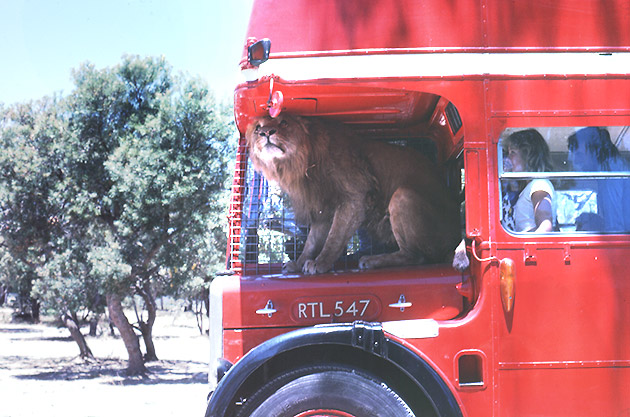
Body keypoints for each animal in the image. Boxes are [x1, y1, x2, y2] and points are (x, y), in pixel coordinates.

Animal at [249, 113, 466, 272]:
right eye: (258, 127)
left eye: (284, 122)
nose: (265, 132)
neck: (300, 163)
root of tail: (456, 237)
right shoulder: (323, 208)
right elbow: (312, 241)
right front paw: (299, 263)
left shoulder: (355, 195)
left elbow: (334, 237)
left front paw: (321, 263)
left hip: (402, 196)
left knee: (417, 256)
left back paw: (372, 260)